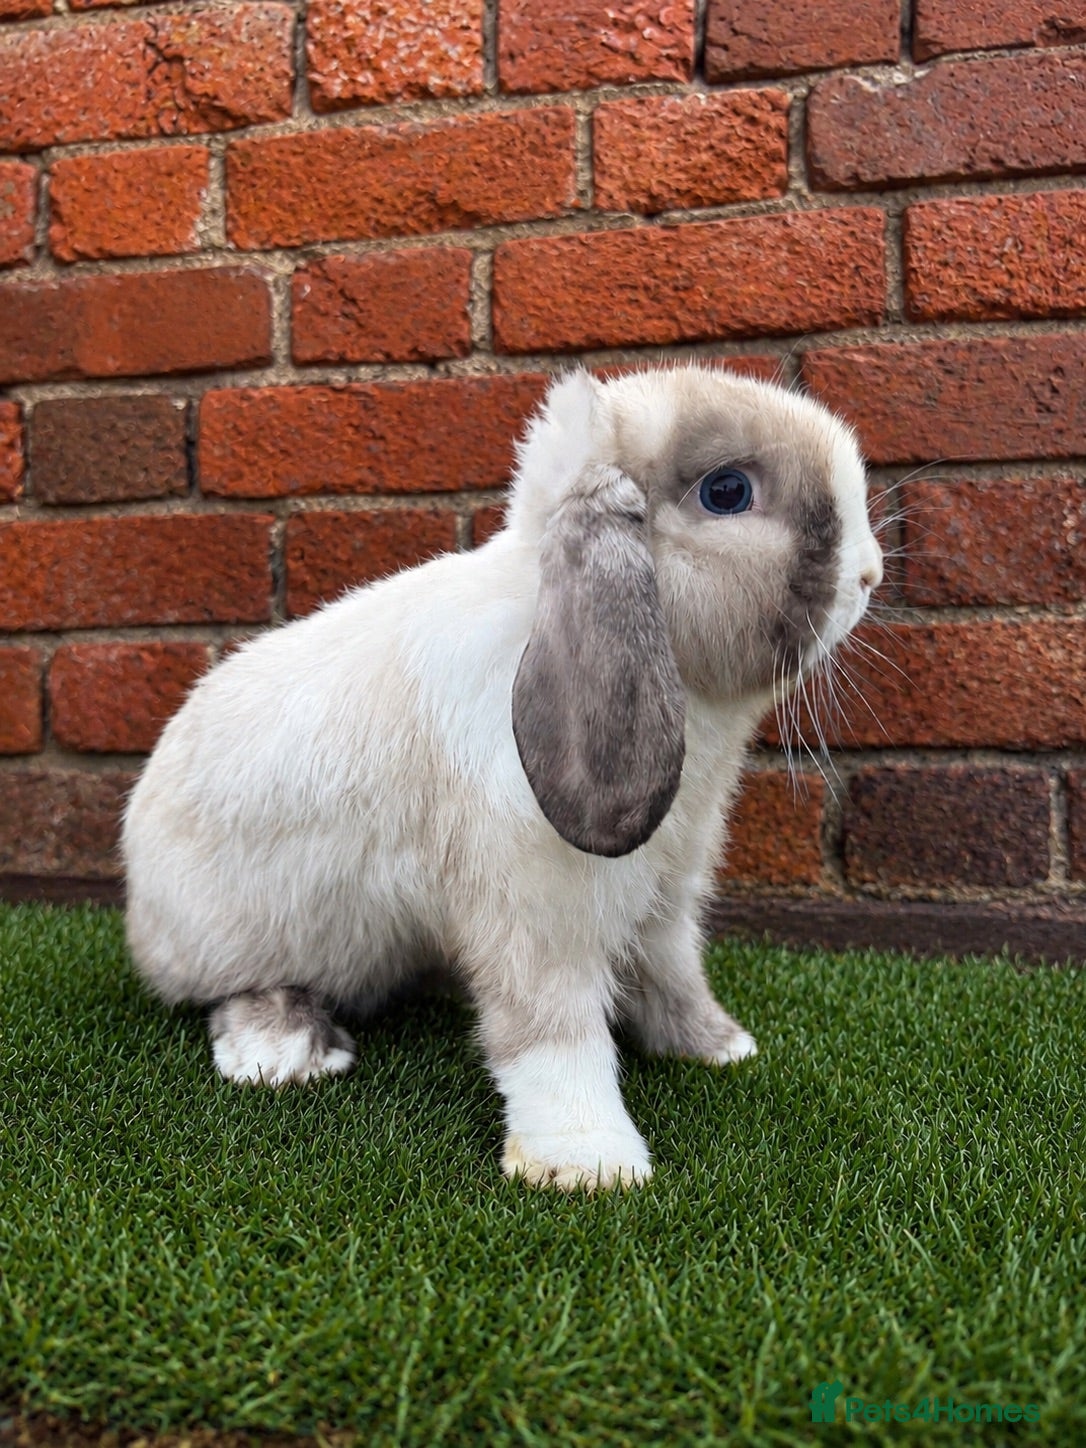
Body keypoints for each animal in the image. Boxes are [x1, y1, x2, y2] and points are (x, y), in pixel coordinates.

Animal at [123, 365, 882, 1191]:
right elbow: (552, 1035)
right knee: (230, 993)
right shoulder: (537, 912)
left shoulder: (665, 898)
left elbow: (671, 975)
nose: (871, 574)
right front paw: (587, 1164)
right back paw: (286, 1050)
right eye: (727, 491)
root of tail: (138, 905)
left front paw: (716, 1046)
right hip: (244, 935)